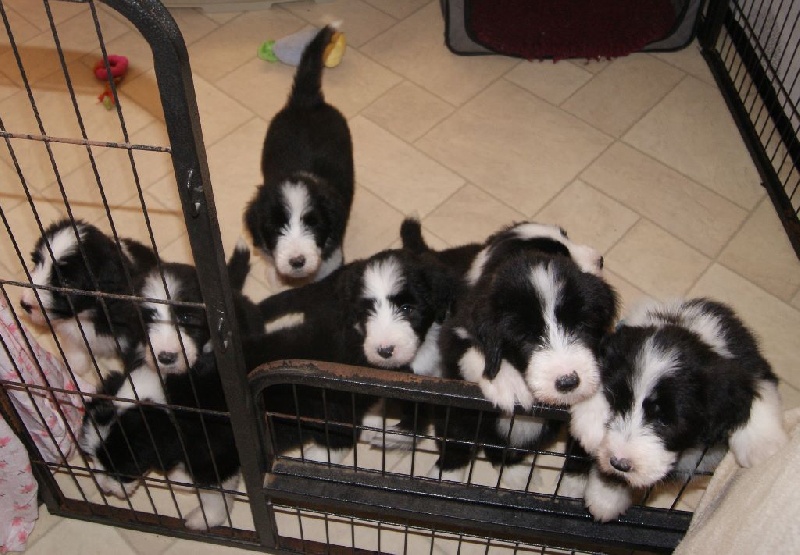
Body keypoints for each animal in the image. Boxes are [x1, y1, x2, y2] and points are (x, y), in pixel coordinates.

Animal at [79, 354, 239, 532]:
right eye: (92, 458)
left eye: (123, 468)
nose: (105, 489)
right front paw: (183, 479)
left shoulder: (214, 456)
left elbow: (215, 494)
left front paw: (204, 519)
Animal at [244, 23, 354, 288]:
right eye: (276, 226)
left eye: (313, 224)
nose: (297, 261)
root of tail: (307, 101)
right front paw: (276, 279)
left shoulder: (333, 245)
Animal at [568, 298, 788, 524]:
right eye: (615, 404)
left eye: (665, 421)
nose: (620, 463)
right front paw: (606, 497)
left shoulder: (747, 360)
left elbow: (756, 387)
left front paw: (761, 445)